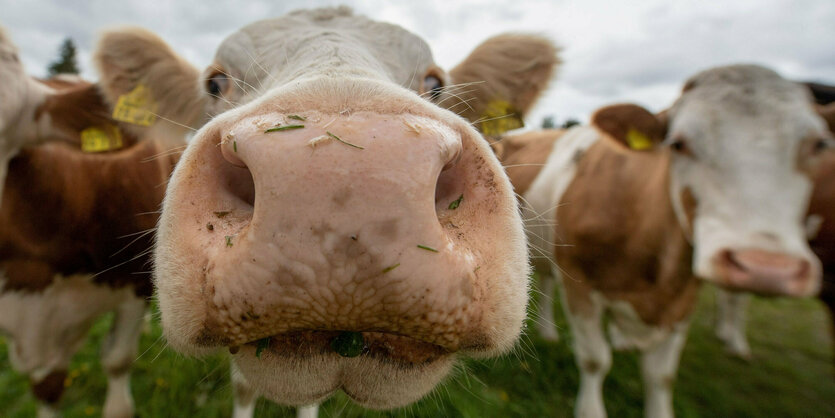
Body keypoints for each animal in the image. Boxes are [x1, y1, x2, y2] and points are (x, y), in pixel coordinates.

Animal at [502, 63, 835, 416]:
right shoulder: (580, 284)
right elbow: (595, 360)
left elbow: (660, 375)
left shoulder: (684, 298)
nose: (767, 268)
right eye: (678, 143)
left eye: (819, 145)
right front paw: (591, 409)